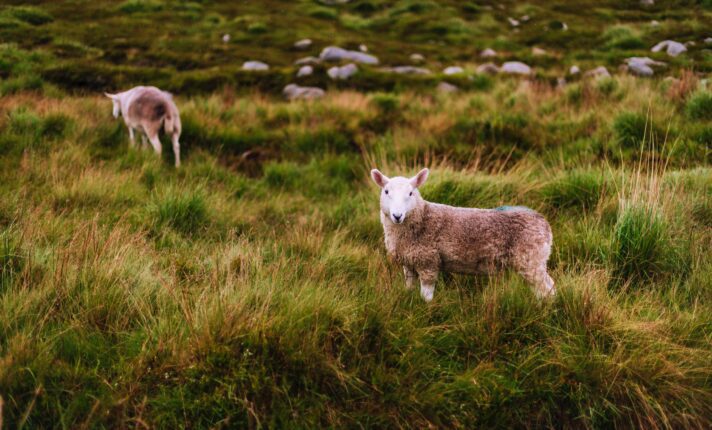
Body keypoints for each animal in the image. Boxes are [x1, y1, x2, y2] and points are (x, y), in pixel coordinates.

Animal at [372, 168, 556, 302]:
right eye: (386, 191)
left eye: (411, 193)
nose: (397, 215)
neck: (422, 217)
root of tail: (544, 223)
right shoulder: (409, 262)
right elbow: (409, 287)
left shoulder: (428, 262)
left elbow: (426, 296)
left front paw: (426, 310)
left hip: (531, 259)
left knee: (547, 289)